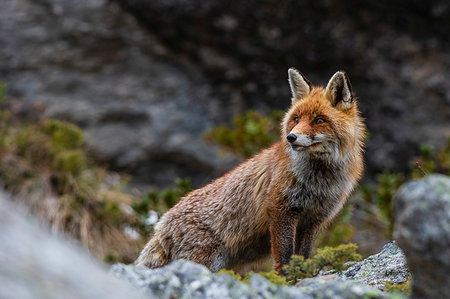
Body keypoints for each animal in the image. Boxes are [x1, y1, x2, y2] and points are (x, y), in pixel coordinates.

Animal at [137, 69, 366, 276]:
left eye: (319, 120)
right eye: (296, 119)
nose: (291, 137)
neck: (319, 181)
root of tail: (161, 223)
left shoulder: (314, 220)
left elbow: (303, 255)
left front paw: (303, 277)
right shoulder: (281, 210)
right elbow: (284, 256)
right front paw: (285, 280)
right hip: (206, 260)